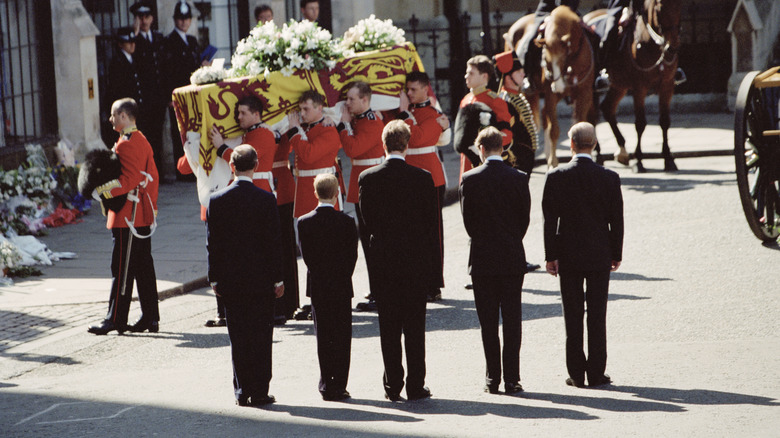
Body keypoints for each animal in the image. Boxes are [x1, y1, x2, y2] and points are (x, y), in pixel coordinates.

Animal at [584, 0, 684, 173]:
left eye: (679, 7)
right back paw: (598, 154)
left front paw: (668, 159)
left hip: (619, 85)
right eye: (660, 8)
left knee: (607, 108)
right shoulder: (639, 87)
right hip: (592, 87)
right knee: (592, 116)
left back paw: (622, 151)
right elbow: (640, 124)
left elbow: (665, 121)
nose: (672, 47)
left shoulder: (667, 86)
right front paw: (638, 161)